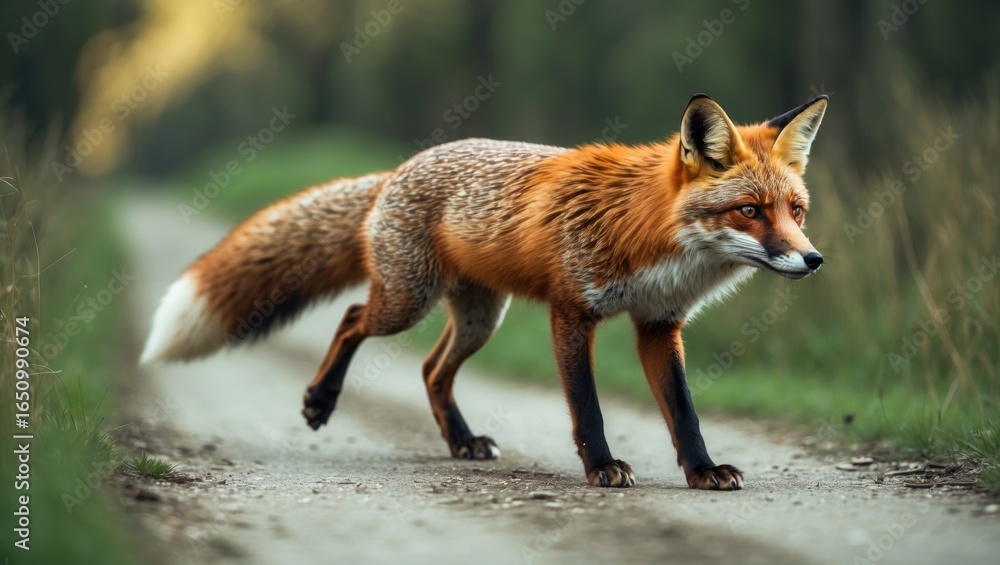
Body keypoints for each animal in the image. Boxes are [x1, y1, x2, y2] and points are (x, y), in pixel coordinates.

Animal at [142, 94, 827, 490]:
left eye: (795, 210)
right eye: (749, 211)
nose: (813, 259)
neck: (650, 234)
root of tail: (398, 169)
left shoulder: (659, 325)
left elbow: (684, 412)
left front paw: (702, 470)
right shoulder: (571, 312)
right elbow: (588, 409)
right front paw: (602, 468)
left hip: (479, 319)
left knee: (429, 369)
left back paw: (461, 442)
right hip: (406, 301)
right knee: (352, 317)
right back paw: (320, 399)